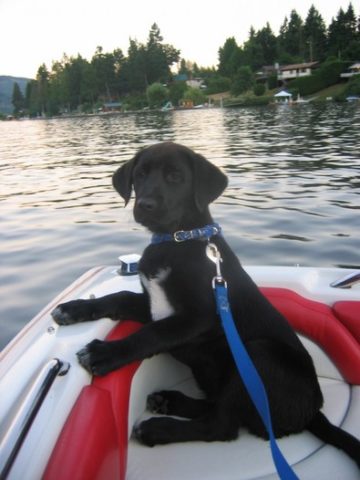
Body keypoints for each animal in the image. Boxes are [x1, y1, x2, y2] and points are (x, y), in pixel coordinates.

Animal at [50, 140, 360, 464]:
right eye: (140, 175)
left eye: (175, 176)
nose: (145, 205)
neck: (177, 240)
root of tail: (312, 412)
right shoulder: (155, 307)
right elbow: (120, 297)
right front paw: (74, 309)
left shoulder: (199, 317)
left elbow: (151, 334)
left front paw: (105, 354)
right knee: (217, 407)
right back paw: (169, 401)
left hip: (259, 354)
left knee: (221, 425)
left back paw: (157, 428)